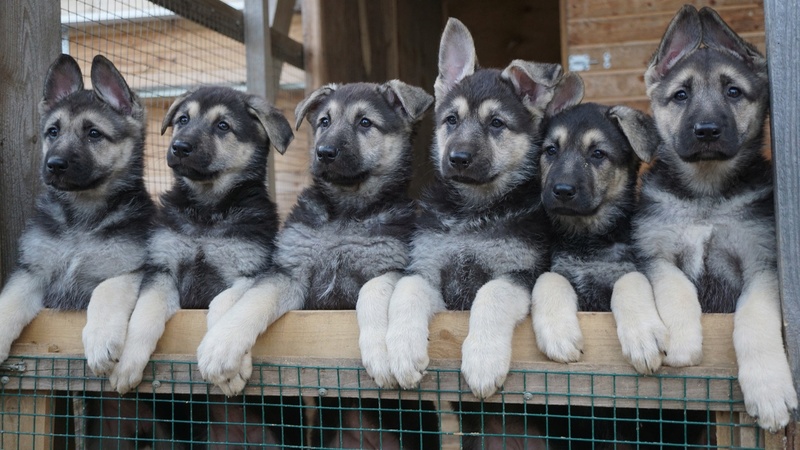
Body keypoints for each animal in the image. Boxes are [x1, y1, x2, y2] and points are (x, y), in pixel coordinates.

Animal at [197, 81, 440, 450]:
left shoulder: (392, 263)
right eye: (324, 121)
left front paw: (381, 352)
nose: (324, 152)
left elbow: (373, 288)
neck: (345, 211)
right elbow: (254, 302)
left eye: (365, 122)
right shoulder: (291, 274)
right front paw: (221, 346)